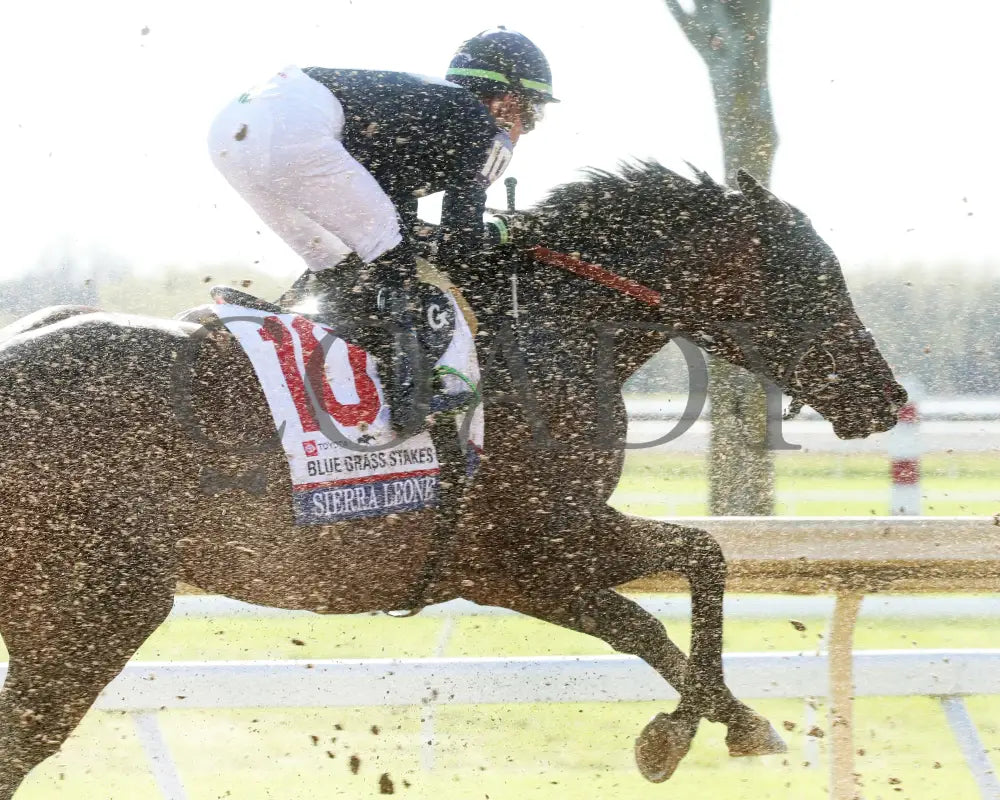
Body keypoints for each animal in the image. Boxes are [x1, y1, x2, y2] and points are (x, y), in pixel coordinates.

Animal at [0, 164, 908, 792]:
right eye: (815, 278)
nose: (888, 396)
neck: (547, 328)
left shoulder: (513, 568)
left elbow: (655, 611)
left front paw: (735, 724)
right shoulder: (534, 547)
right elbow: (698, 564)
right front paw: (688, 733)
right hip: (96, 605)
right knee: (25, 737)